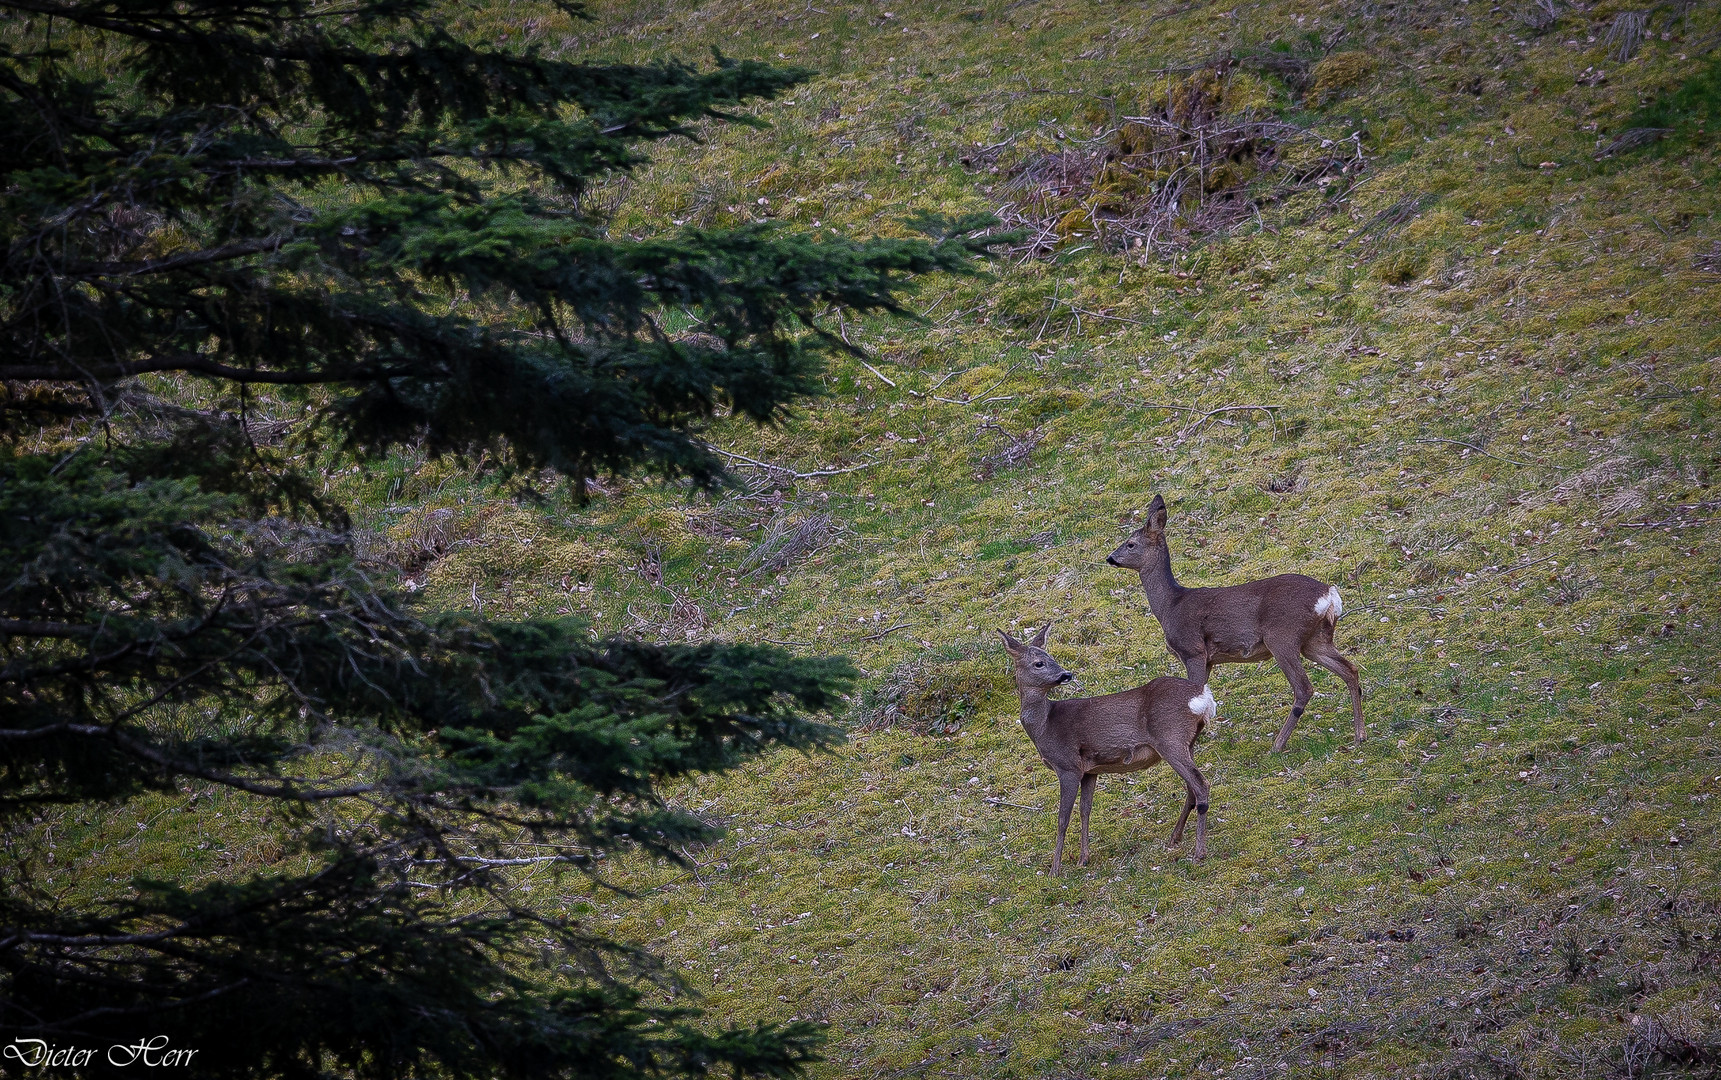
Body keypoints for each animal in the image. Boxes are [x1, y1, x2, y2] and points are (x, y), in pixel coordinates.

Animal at [991, 629, 1218, 873]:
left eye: (1050, 658)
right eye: (1039, 663)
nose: (1066, 674)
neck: (1045, 725)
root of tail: (1203, 696)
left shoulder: (1068, 765)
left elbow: (1062, 819)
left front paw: (1054, 870)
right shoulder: (1090, 770)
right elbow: (1085, 810)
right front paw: (1083, 859)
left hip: (1170, 739)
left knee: (1201, 784)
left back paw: (1198, 853)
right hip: (1187, 742)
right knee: (1192, 788)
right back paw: (1174, 838)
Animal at [1108, 495, 1363, 756]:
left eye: (1130, 544)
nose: (1110, 558)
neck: (1171, 605)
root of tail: (1329, 594)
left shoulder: (1193, 650)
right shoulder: (1209, 659)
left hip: (1282, 636)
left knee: (1304, 688)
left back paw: (1277, 745)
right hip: (1315, 640)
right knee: (1350, 670)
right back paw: (1359, 736)